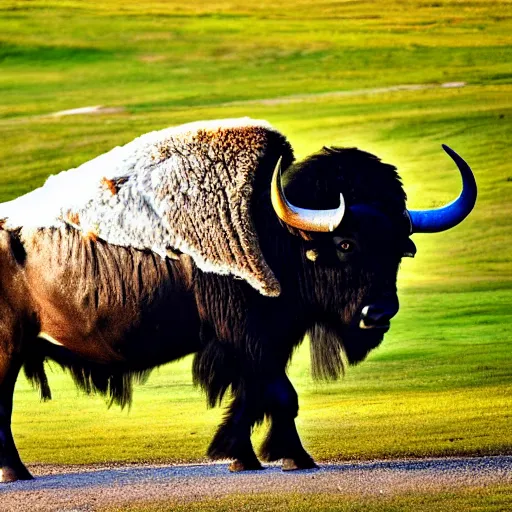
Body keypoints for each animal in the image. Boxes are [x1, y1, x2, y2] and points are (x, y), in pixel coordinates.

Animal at [0, 119, 476, 480]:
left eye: (400, 249)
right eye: (346, 244)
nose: (377, 314)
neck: (277, 236)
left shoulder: (263, 343)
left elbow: (254, 397)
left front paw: (242, 457)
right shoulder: (248, 337)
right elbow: (280, 395)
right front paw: (295, 458)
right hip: (9, 350)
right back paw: (16, 472)